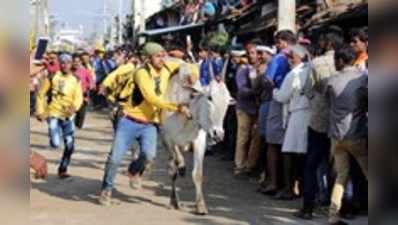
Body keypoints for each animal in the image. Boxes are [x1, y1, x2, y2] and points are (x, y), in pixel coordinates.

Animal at [160, 62, 232, 214]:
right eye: (210, 97)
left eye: (228, 99)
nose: (218, 134)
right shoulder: (169, 139)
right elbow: (174, 169)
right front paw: (174, 201)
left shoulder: (199, 141)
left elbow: (198, 174)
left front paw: (200, 206)